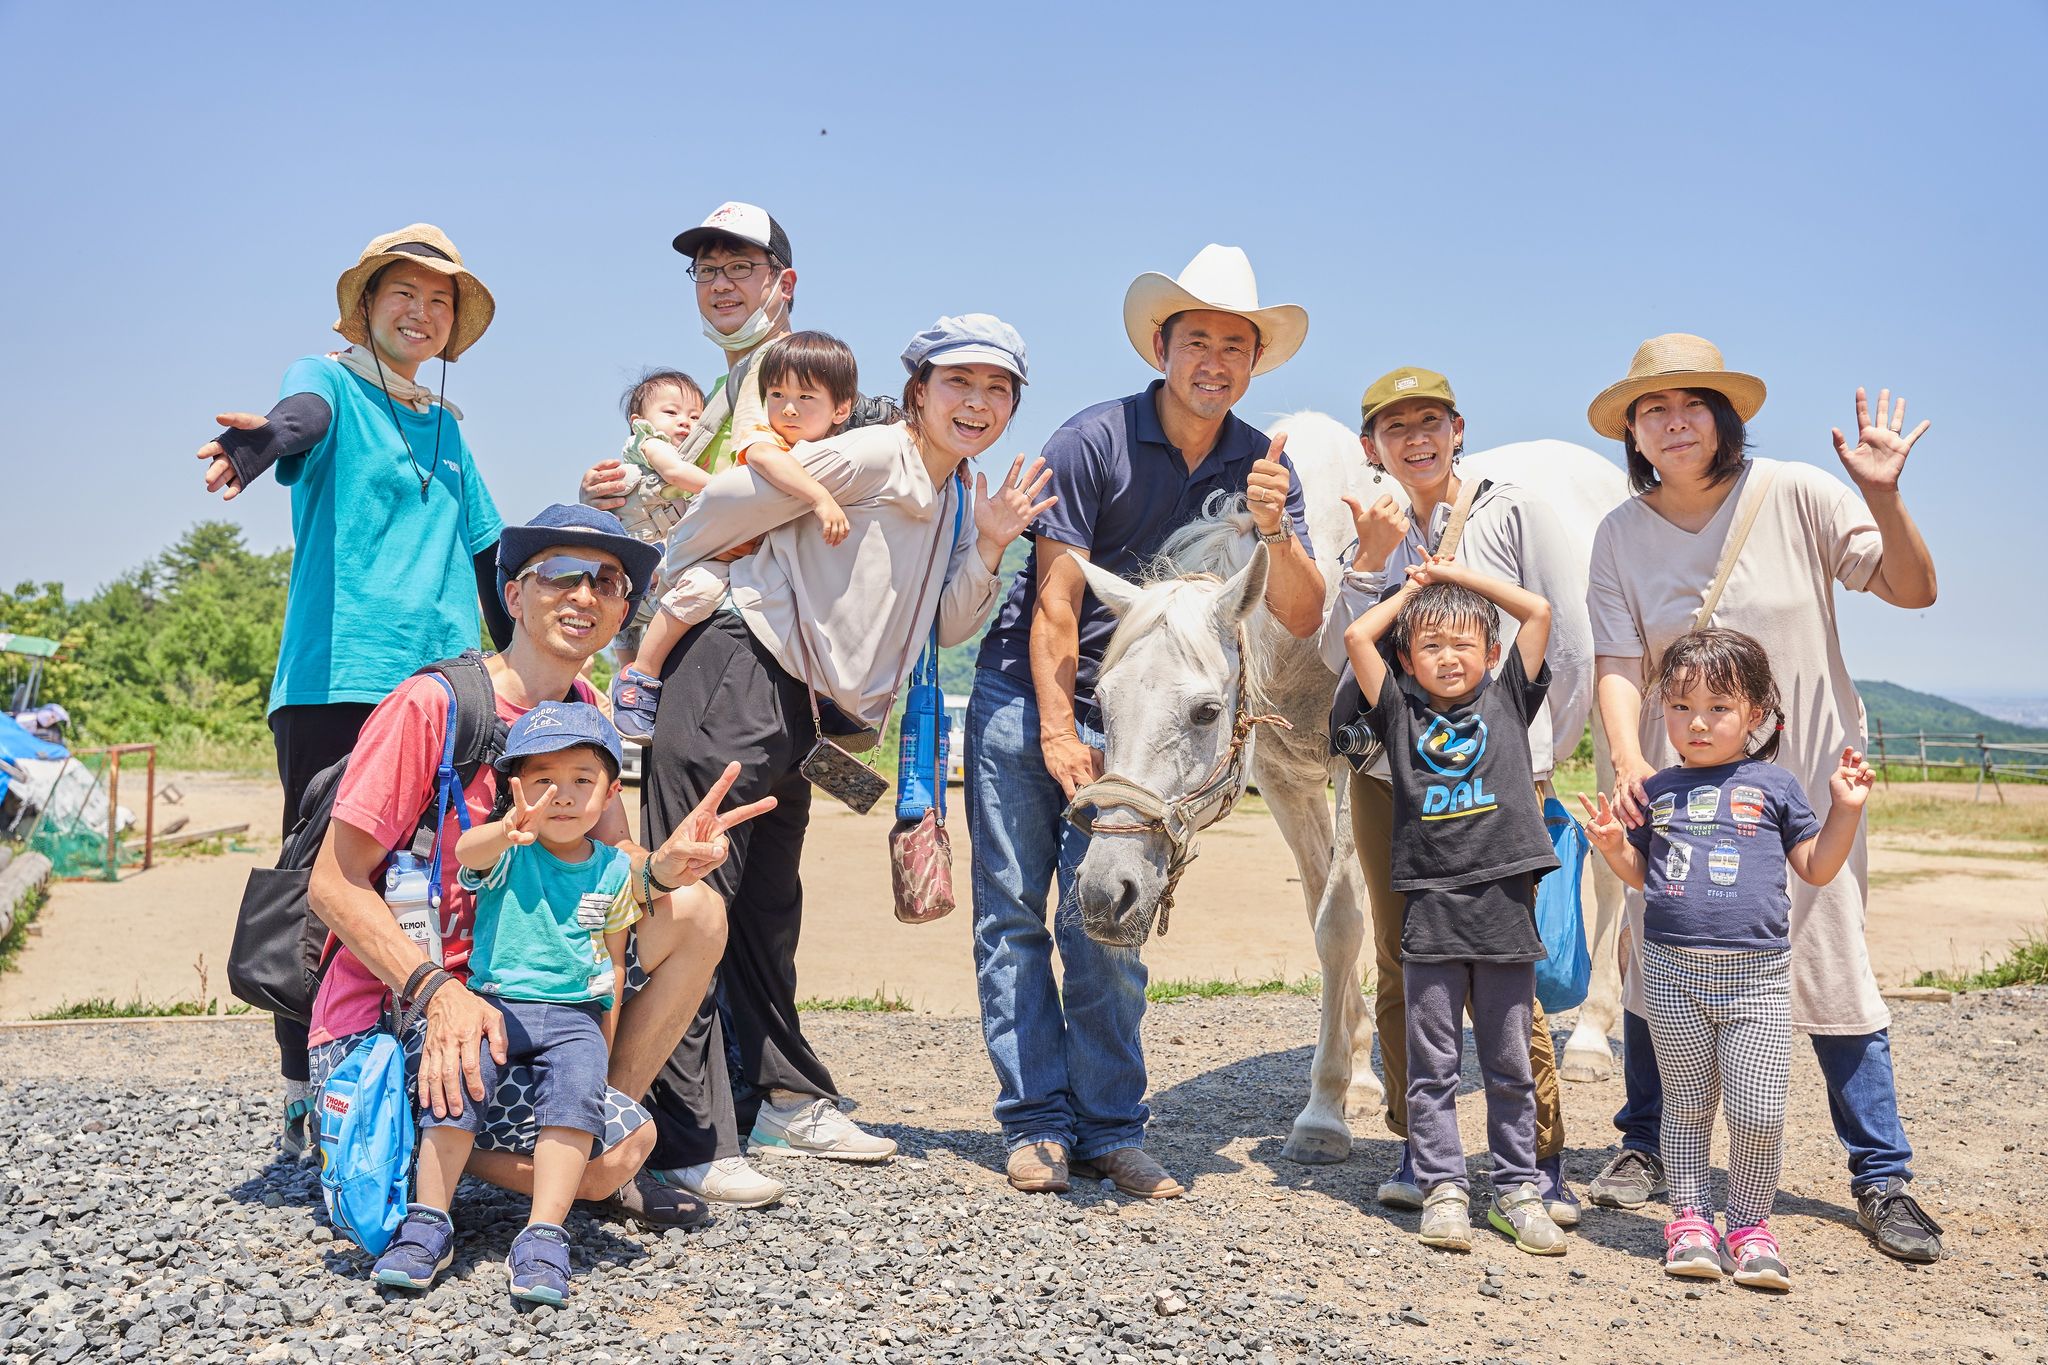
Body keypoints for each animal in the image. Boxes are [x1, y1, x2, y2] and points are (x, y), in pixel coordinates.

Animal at [1073, 411, 1630, 1170]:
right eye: (1101, 702)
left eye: (1206, 712)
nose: (1106, 891)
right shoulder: (1284, 782)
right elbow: (1329, 921)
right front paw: (1362, 1079)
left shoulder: (1349, 769)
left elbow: (1340, 921)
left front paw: (1324, 1112)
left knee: (1614, 873)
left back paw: (1595, 1039)